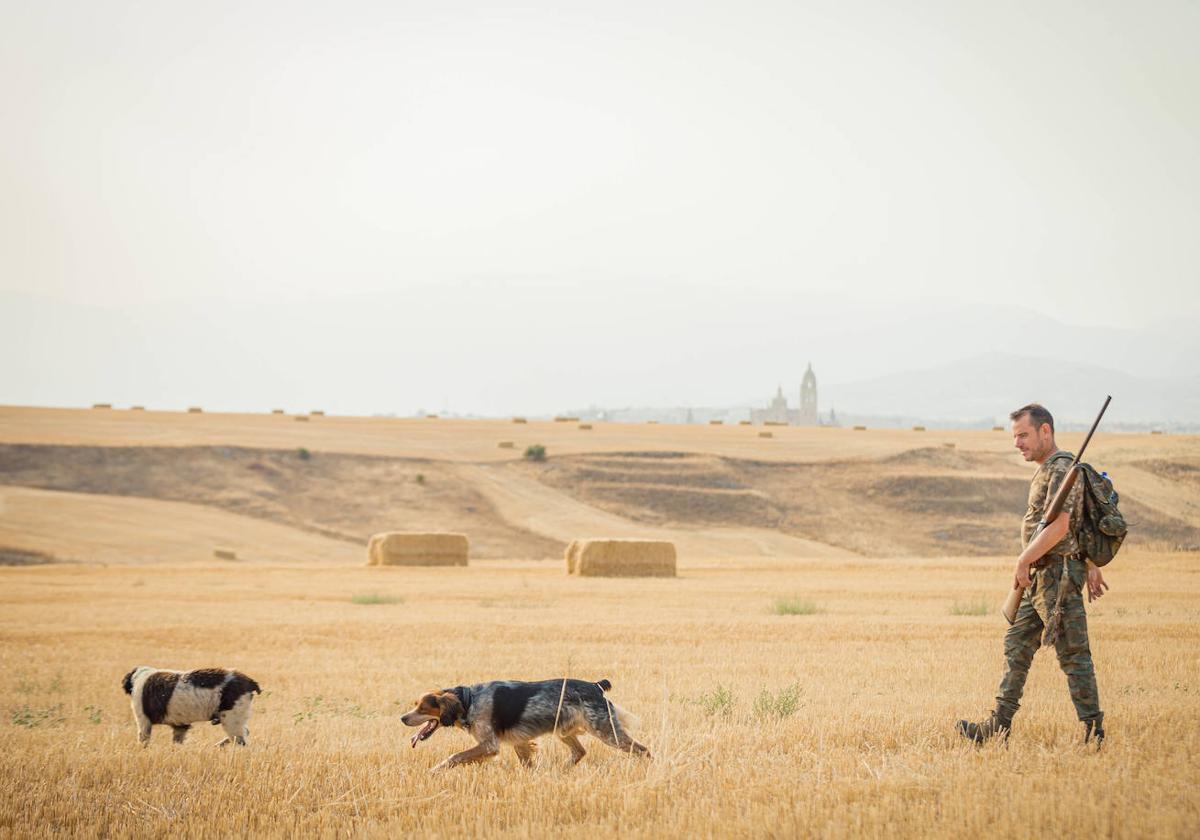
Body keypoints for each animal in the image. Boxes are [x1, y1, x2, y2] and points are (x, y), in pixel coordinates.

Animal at [120, 667, 261, 744]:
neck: (139, 679)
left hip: (231, 720)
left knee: (240, 741)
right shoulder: (180, 727)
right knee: (244, 733)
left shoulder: (144, 722)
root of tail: (250, 682)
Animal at [400, 681, 648, 772]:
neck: (469, 700)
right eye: (415, 704)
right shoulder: (518, 742)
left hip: (607, 731)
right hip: (565, 730)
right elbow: (527, 763)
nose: (403, 718)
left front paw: (434, 771)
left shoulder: (490, 745)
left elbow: (455, 756)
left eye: (423, 708)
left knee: (643, 750)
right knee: (579, 751)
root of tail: (597, 686)